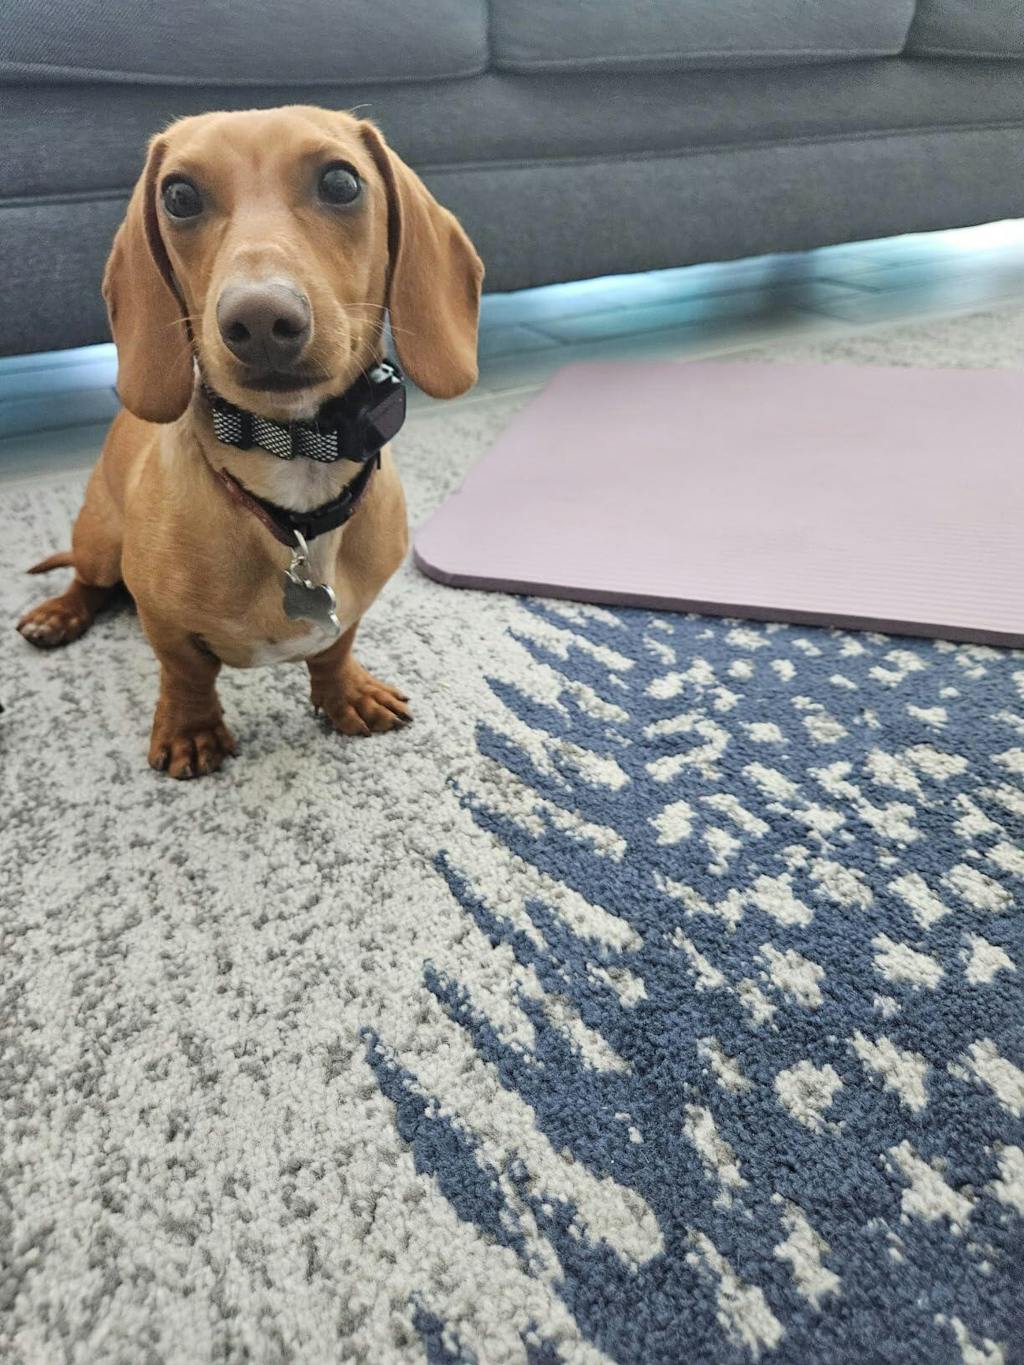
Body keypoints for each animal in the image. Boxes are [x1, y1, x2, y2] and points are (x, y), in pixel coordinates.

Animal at [17, 106, 483, 777]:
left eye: (341, 182)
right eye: (179, 196)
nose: (260, 321)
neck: (294, 471)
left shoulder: (351, 611)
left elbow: (335, 647)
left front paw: (345, 694)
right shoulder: (165, 625)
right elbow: (186, 673)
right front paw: (192, 730)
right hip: (101, 538)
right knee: (89, 580)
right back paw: (57, 614)